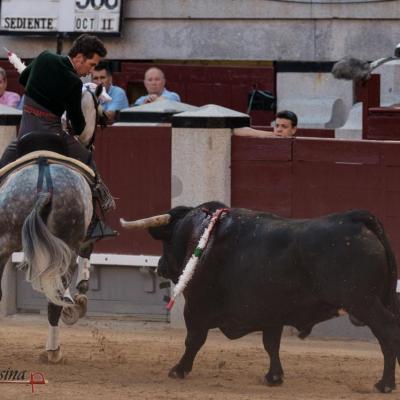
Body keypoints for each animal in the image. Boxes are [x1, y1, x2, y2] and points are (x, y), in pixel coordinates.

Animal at [141, 202, 400, 392]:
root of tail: (355, 218)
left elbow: (193, 340)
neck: (204, 236)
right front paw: (274, 377)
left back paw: (385, 384)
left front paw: (178, 369)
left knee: (388, 331)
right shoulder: (272, 311)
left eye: (167, 241)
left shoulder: (196, 307)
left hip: (364, 302)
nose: (160, 265)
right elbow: (271, 344)